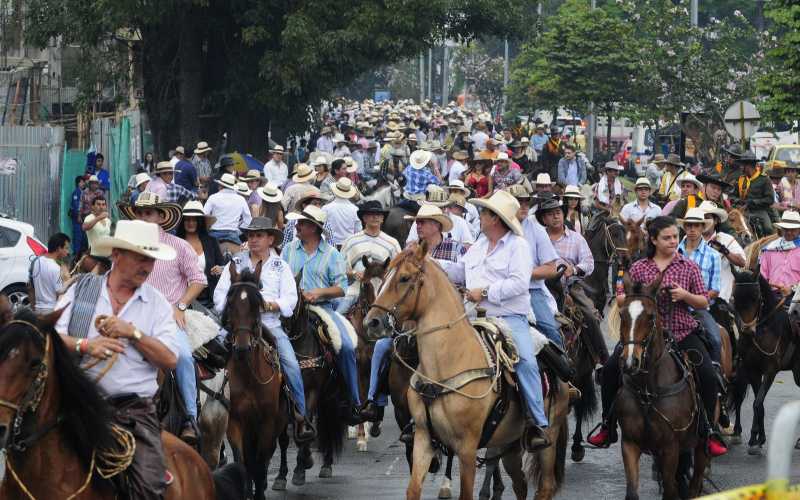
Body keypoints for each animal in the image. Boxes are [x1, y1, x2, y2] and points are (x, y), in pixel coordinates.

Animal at [222, 264, 288, 498]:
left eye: (256, 304)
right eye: (230, 302)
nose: (242, 348)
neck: (249, 375)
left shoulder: (267, 423)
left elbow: (260, 465)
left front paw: (259, 491)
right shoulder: (235, 421)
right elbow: (242, 462)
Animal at [362, 244, 568, 500]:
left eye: (404, 278)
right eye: (383, 279)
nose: (372, 323)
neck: (445, 367)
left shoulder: (467, 448)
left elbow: (465, 492)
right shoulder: (423, 439)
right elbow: (413, 488)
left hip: (549, 438)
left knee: (545, 485)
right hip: (509, 445)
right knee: (520, 484)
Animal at [616, 276, 708, 498]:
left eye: (651, 317)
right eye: (622, 315)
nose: (630, 362)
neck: (648, 391)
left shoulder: (670, 447)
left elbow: (670, 489)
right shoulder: (630, 443)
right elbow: (632, 491)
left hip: (701, 444)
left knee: (695, 481)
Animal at [728, 272, 796, 456]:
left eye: (757, 297)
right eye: (735, 296)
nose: (747, 330)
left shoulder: (770, 371)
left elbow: (757, 403)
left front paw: (756, 438)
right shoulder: (751, 370)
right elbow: (757, 403)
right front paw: (755, 438)